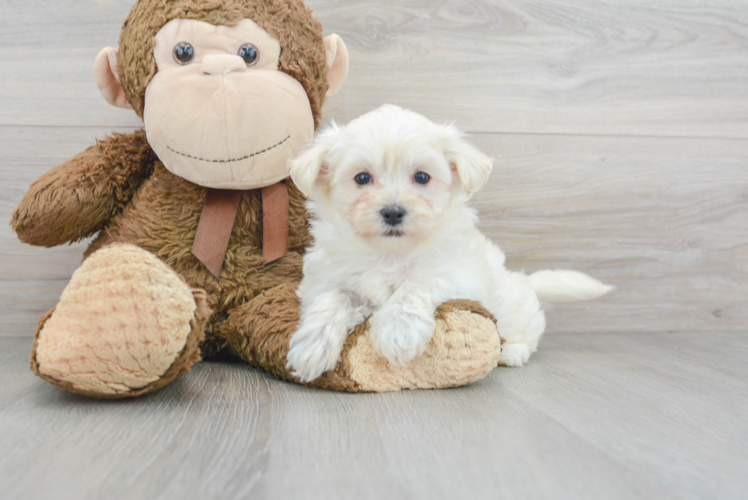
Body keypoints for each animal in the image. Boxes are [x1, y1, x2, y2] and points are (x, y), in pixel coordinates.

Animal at [284, 103, 608, 380]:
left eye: (422, 177)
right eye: (362, 178)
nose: (393, 211)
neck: (389, 253)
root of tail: (525, 281)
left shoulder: (456, 274)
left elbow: (416, 284)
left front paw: (398, 331)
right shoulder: (325, 278)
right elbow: (331, 299)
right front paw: (312, 347)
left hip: (515, 311)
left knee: (526, 334)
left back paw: (511, 352)